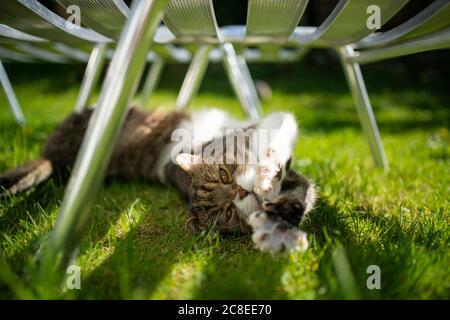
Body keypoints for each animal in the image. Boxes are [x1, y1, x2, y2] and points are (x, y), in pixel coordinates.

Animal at [0, 107, 316, 252]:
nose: (241, 191)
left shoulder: (269, 125)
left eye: (224, 174)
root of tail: (55, 158)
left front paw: (268, 178)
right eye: (227, 213)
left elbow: (276, 145)